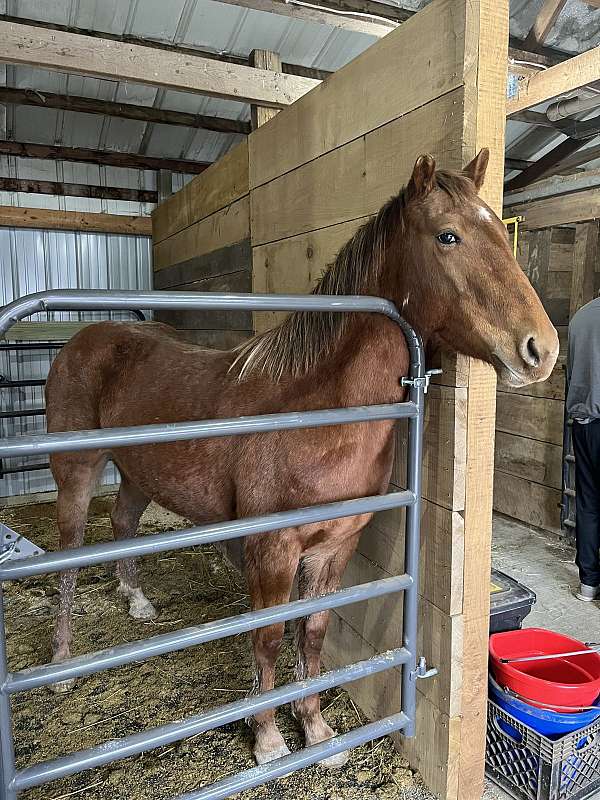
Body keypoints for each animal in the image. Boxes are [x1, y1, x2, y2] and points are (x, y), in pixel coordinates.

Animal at [45, 150, 556, 768]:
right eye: (448, 236)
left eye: (503, 235)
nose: (541, 349)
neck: (317, 412)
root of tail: (85, 337)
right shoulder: (273, 549)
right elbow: (268, 636)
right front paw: (267, 738)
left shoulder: (335, 546)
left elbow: (311, 632)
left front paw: (316, 732)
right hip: (76, 473)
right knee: (69, 556)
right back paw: (62, 667)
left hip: (140, 472)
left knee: (122, 522)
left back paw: (137, 602)